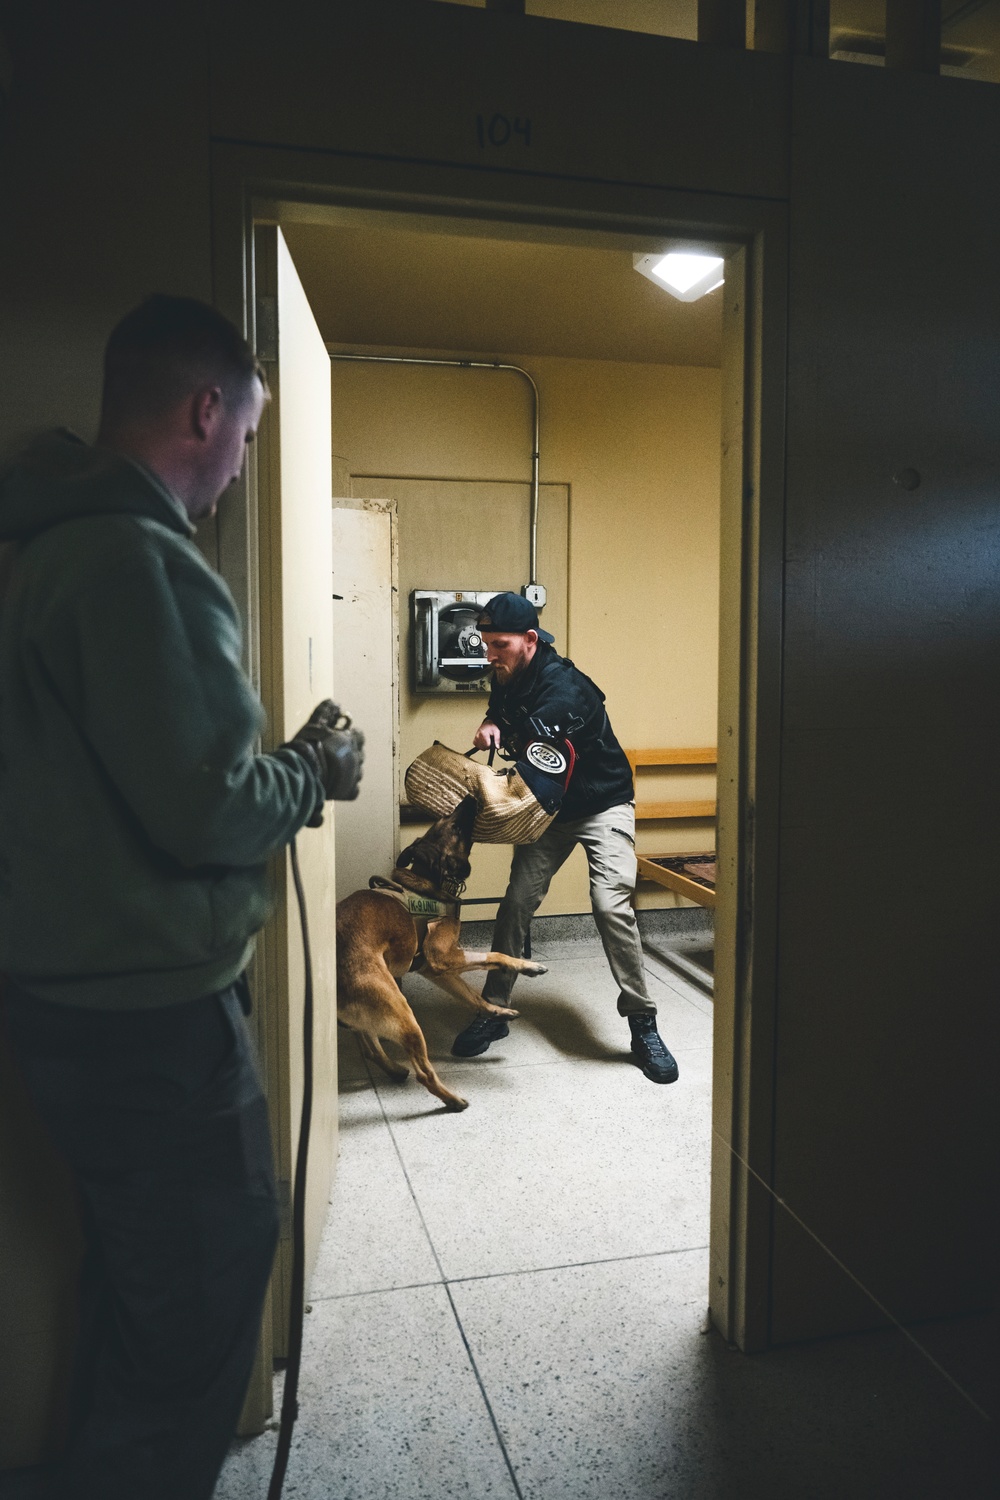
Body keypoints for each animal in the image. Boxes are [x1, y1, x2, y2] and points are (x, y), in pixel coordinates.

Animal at [338, 798, 551, 1104]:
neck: (427, 880)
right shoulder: (444, 957)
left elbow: (473, 996)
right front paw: (527, 966)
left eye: (444, 819)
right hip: (402, 1011)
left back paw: (395, 1070)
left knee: (370, 1049)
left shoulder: (435, 969)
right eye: (454, 827)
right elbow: (495, 956)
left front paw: (497, 1011)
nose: (471, 799)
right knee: (423, 1073)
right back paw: (453, 1100)